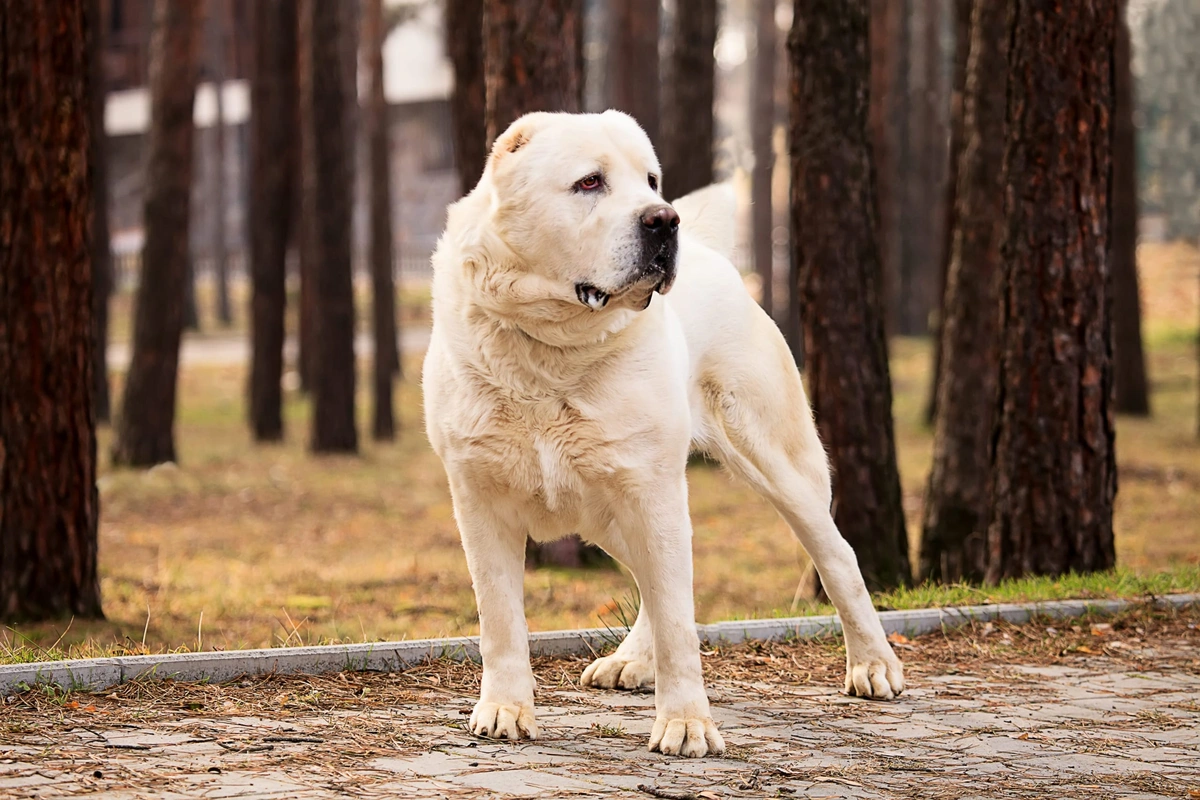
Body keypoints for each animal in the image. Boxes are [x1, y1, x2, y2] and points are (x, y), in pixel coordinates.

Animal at [427, 110, 902, 758]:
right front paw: (505, 709)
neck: (552, 349)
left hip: (774, 466)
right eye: (590, 182)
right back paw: (629, 662)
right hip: (610, 507)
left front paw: (686, 724)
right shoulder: (480, 499)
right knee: (652, 582)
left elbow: (679, 620)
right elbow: (500, 618)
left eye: (650, 180)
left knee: (836, 557)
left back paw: (873, 666)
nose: (663, 217)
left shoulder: (651, 491)